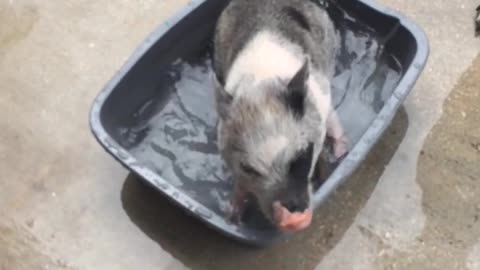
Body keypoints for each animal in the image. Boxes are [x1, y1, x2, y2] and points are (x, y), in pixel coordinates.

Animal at [212, 0, 346, 232]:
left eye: (302, 154)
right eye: (248, 168)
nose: (293, 218)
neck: (263, 81)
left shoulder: (321, 94)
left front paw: (328, 169)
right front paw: (232, 217)